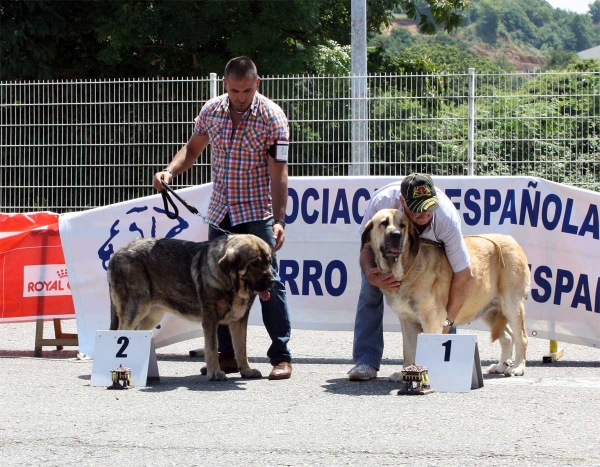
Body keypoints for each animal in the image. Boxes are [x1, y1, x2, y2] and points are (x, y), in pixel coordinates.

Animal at [108, 236, 274, 382]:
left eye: (268, 262)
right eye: (254, 264)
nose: (272, 281)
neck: (228, 281)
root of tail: (117, 253)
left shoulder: (239, 321)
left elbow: (241, 348)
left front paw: (246, 370)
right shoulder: (210, 320)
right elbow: (212, 348)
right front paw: (215, 373)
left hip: (151, 315)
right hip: (135, 310)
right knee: (120, 335)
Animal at [360, 210, 528, 378]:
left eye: (403, 225)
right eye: (384, 223)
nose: (396, 235)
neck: (406, 266)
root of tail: (512, 240)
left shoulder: (431, 319)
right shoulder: (407, 321)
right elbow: (408, 350)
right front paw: (406, 372)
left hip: (512, 305)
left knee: (521, 337)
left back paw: (517, 367)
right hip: (488, 309)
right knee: (507, 337)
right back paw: (500, 366)